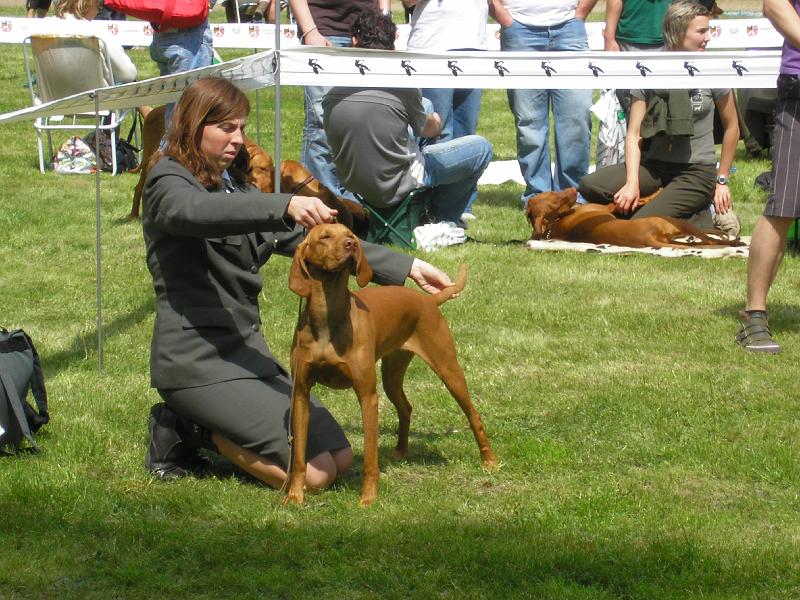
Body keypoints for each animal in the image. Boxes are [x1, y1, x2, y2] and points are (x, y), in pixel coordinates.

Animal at [284, 223, 496, 504]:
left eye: (350, 234)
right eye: (325, 236)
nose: (352, 244)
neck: (327, 317)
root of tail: (428, 300)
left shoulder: (367, 395)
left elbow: (370, 459)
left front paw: (368, 499)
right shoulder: (301, 393)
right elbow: (298, 457)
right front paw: (294, 496)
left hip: (448, 369)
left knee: (473, 415)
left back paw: (489, 460)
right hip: (391, 375)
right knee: (405, 407)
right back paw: (401, 451)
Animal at [524, 190, 744, 251]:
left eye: (553, 192)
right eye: (554, 202)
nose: (573, 189)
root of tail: (647, 240)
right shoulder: (609, 207)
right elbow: (637, 198)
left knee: (705, 238)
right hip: (674, 221)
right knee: (710, 241)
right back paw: (734, 241)